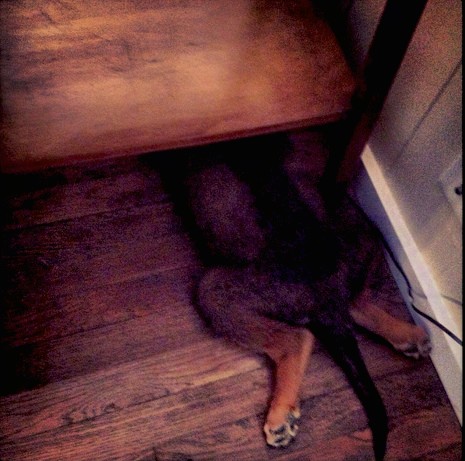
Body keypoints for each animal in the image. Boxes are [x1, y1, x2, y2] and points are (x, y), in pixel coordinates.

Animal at [160, 136, 432, 460]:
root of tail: (328, 298)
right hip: (366, 230)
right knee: (356, 300)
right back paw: (408, 335)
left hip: (217, 292)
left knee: (296, 338)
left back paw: (280, 416)